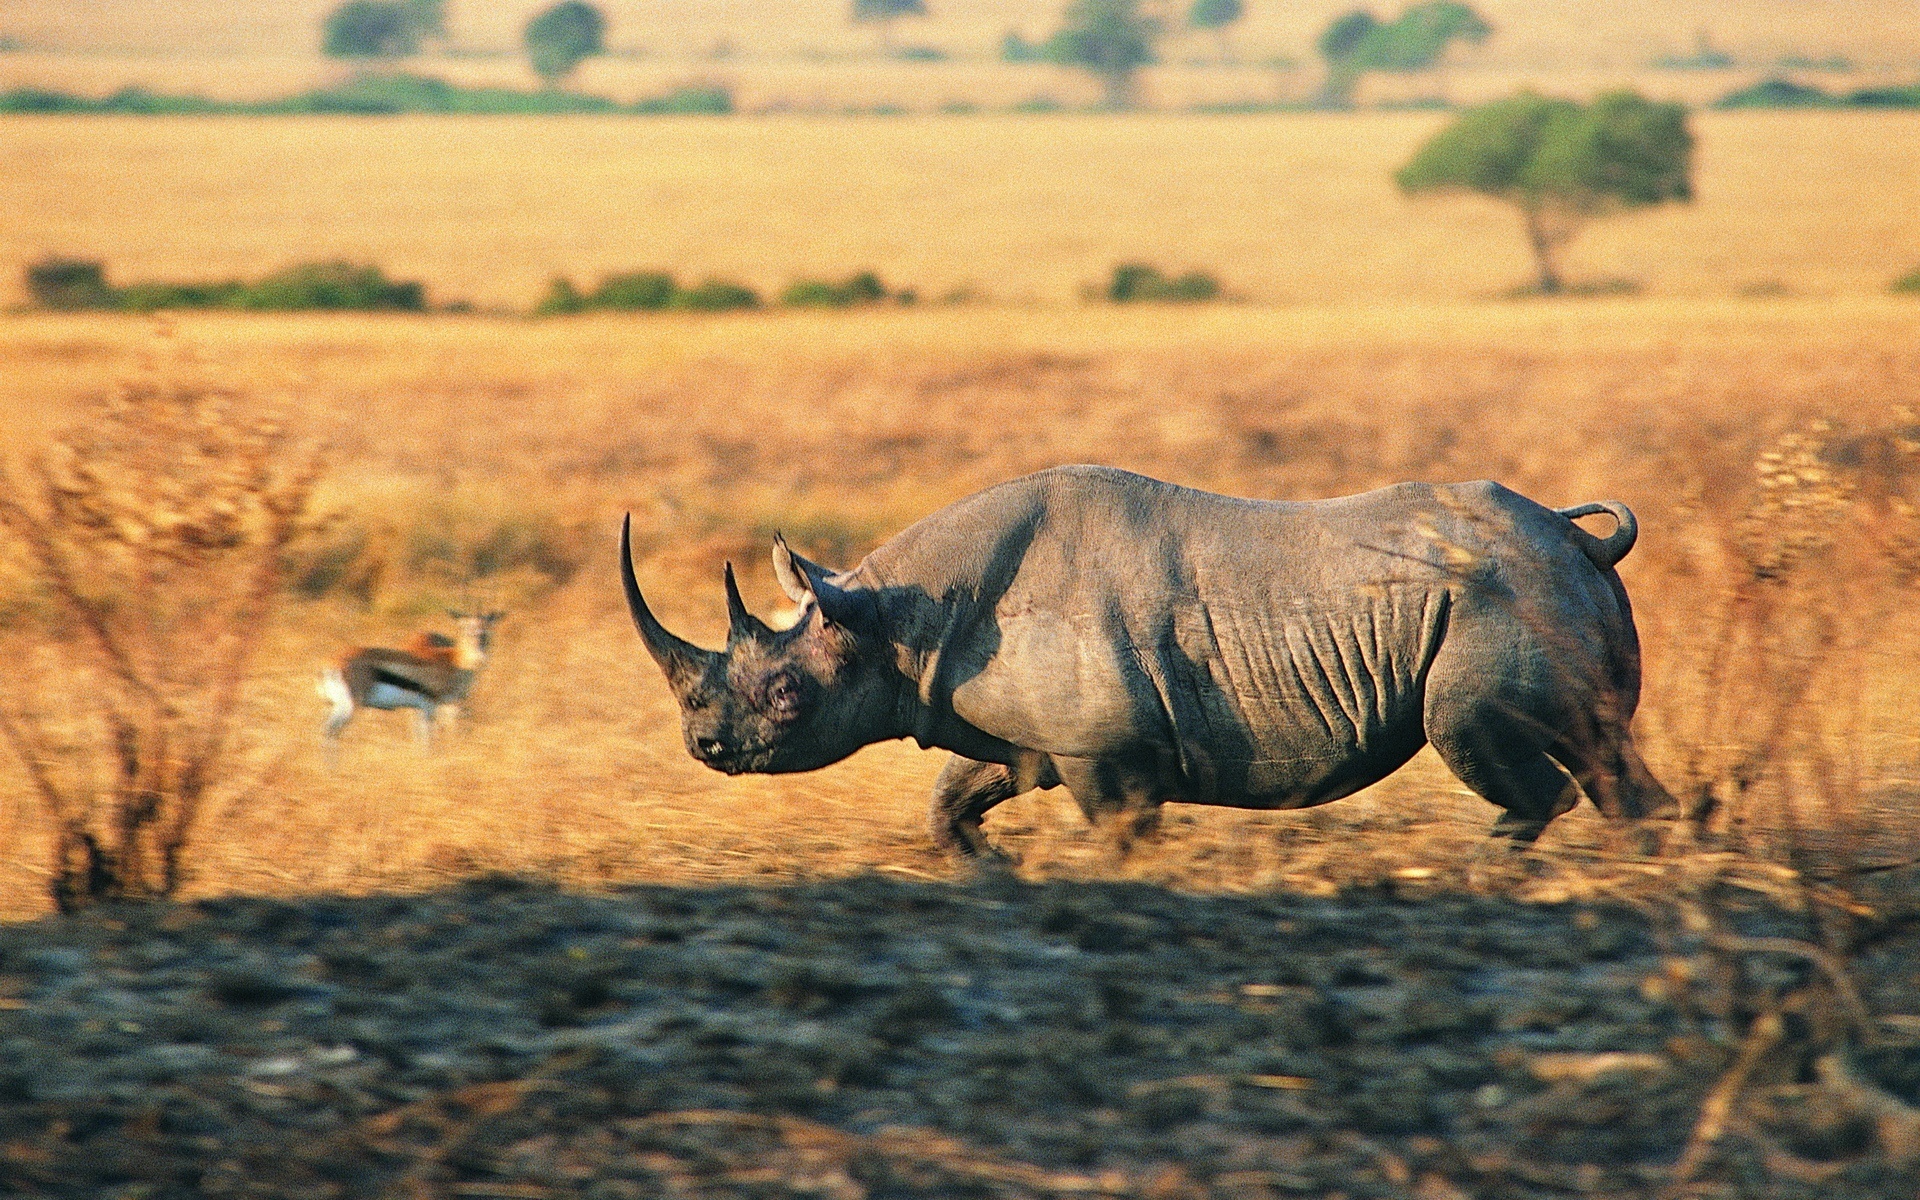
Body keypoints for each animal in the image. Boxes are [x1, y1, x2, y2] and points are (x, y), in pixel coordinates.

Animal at [621, 465, 1675, 857]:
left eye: (786, 694)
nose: (704, 747)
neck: (891, 620)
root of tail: (1581, 543)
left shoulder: (1105, 751)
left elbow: (1123, 835)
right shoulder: (1032, 738)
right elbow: (950, 801)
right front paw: (992, 867)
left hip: (1503, 598)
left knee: (1479, 736)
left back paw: (1485, 870)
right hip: (1544, 591)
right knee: (1602, 752)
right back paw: (1644, 864)